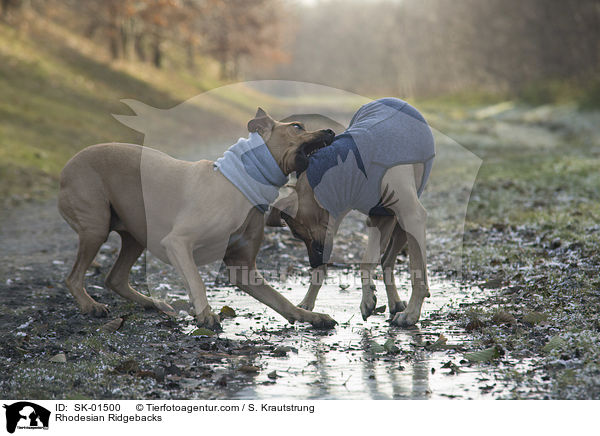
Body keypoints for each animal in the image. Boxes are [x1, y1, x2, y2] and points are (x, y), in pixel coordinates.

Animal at [272, 97, 436, 326]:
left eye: (296, 233)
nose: (313, 262)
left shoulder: (412, 216)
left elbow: (417, 273)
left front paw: (412, 314)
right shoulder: (377, 218)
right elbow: (366, 262)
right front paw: (366, 299)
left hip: (405, 223)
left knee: (391, 258)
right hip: (386, 218)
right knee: (385, 261)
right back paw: (392, 302)